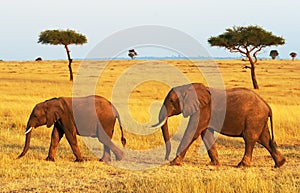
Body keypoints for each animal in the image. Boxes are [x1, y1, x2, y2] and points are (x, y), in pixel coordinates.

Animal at [152, 83, 286, 167]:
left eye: (171, 101)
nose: (166, 158)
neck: (188, 87)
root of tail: (267, 106)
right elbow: (206, 134)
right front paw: (214, 164)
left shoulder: (203, 109)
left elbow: (193, 131)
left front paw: (174, 163)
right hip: (259, 119)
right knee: (265, 139)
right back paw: (280, 164)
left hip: (254, 117)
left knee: (250, 138)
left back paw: (242, 165)